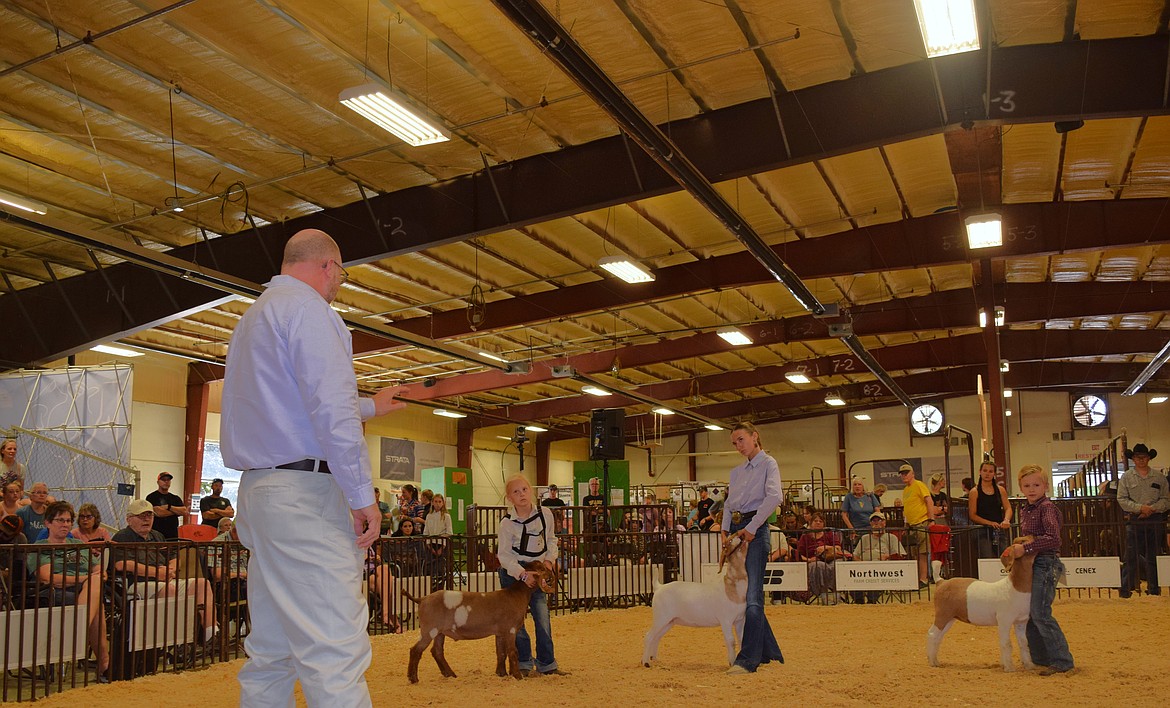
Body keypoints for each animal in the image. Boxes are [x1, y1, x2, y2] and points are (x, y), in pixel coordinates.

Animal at [404, 559, 554, 683]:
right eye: (541, 568)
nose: (551, 574)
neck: (517, 594)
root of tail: (422, 599)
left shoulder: (500, 633)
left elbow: (501, 652)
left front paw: (502, 674)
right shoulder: (510, 630)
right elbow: (512, 652)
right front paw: (517, 676)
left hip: (440, 632)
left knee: (437, 651)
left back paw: (450, 674)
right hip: (429, 629)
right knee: (415, 650)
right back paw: (413, 678)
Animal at [641, 533, 748, 664]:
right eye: (729, 541)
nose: (741, 535)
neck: (732, 588)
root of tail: (659, 587)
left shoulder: (740, 620)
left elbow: (742, 639)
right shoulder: (726, 620)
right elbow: (731, 641)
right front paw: (732, 662)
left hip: (669, 621)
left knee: (657, 637)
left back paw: (655, 659)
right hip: (660, 617)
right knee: (648, 636)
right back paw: (646, 662)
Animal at [926, 533, 1038, 669]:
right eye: (1023, 541)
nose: (1034, 535)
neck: (1014, 587)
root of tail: (940, 581)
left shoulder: (1021, 622)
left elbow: (1023, 643)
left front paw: (1029, 665)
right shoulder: (1004, 621)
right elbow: (1007, 644)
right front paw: (1009, 667)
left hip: (950, 618)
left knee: (938, 637)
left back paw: (936, 661)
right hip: (942, 615)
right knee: (932, 634)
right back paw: (932, 662)